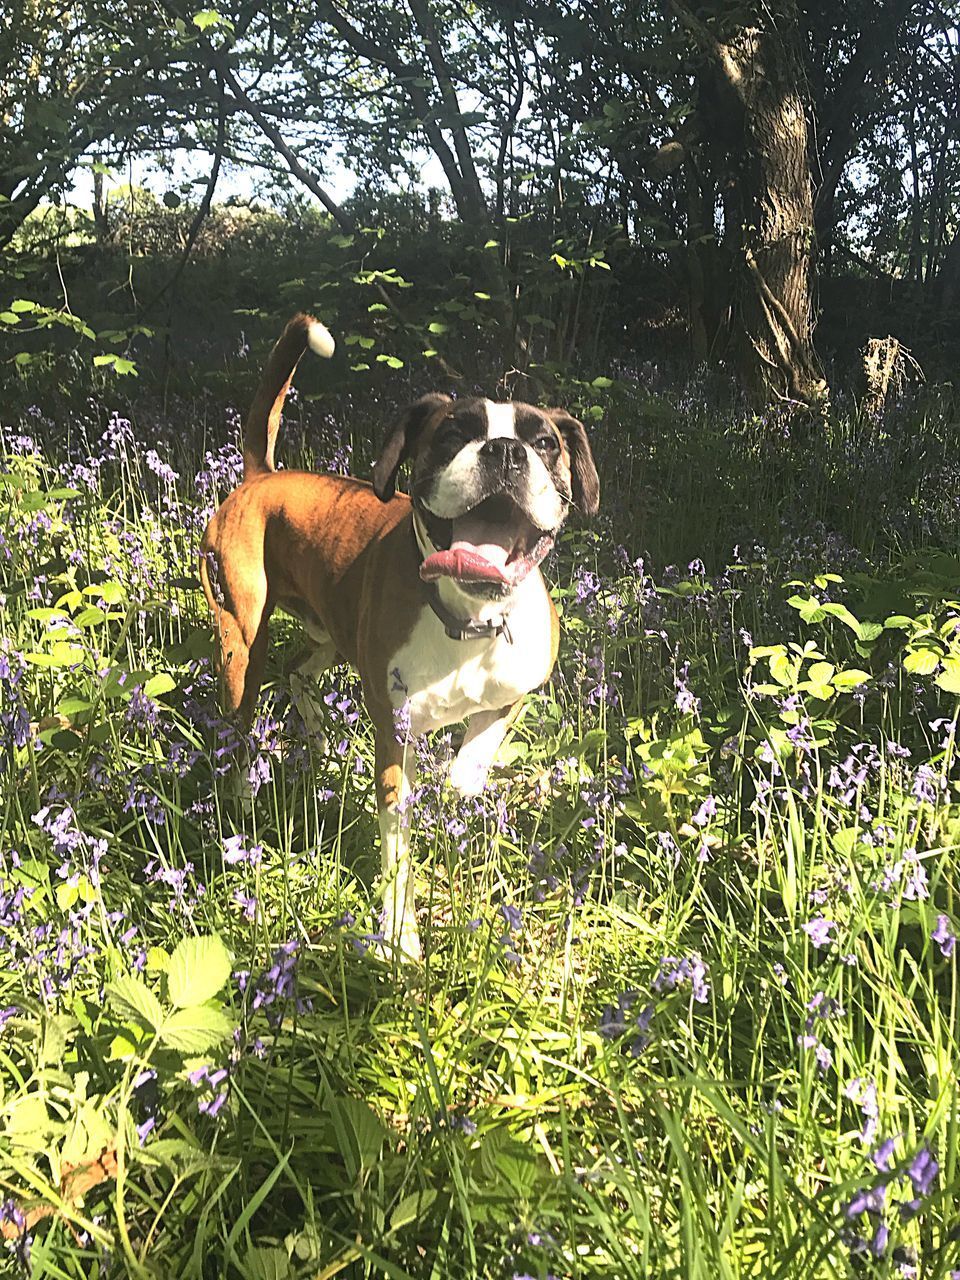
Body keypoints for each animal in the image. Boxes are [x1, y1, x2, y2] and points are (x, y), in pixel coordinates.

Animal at [199, 314, 599, 962]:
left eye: (545, 443)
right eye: (453, 433)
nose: (505, 450)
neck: (467, 617)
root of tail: (264, 477)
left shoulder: (513, 692)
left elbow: (477, 751)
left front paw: (462, 782)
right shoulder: (395, 742)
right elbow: (397, 848)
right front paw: (399, 936)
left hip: (329, 633)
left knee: (299, 671)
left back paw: (317, 734)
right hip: (241, 642)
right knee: (242, 717)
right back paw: (238, 792)